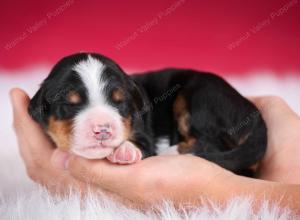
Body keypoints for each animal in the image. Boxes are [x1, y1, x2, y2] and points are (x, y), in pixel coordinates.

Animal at [28, 52, 268, 176]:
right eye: (71, 104)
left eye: (119, 102)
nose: (103, 130)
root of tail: (254, 114)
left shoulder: (143, 132)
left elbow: (142, 145)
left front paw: (125, 150)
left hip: (201, 96)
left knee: (211, 142)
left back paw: (171, 153)